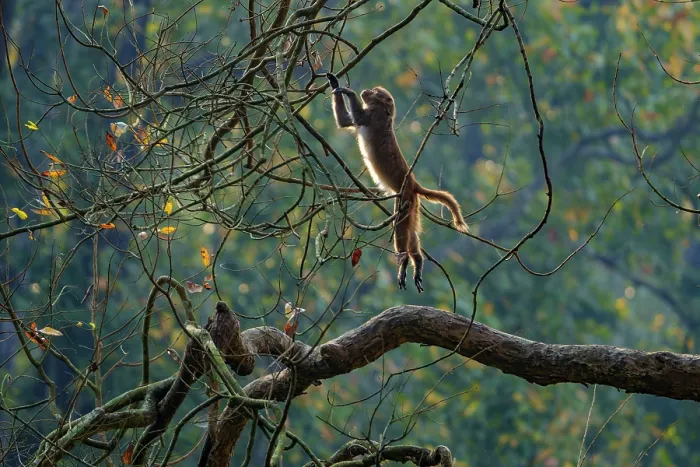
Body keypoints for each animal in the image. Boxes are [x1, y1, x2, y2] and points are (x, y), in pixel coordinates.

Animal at [326, 73, 469, 292]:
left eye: (375, 91)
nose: (366, 90)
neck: (385, 113)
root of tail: (413, 184)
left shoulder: (373, 116)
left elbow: (357, 118)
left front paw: (348, 92)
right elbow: (344, 122)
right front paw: (334, 82)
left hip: (406, 200)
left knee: (401, 229)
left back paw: (404, 261)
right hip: (410, 203)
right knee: (410, 232)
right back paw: (417, 260)